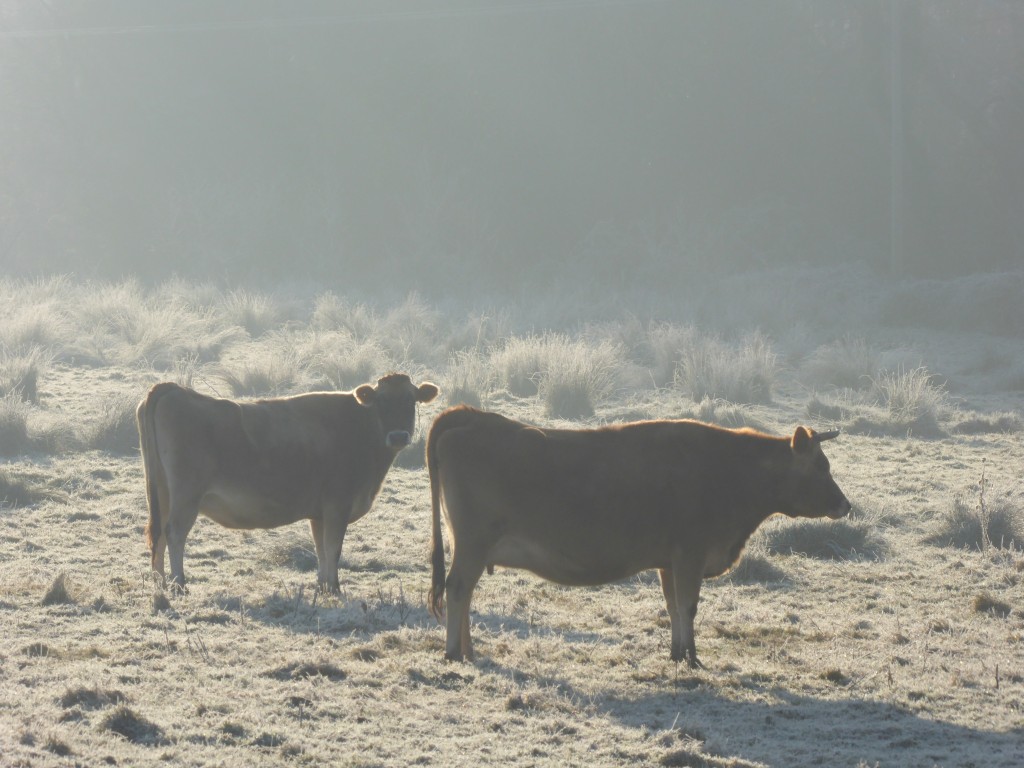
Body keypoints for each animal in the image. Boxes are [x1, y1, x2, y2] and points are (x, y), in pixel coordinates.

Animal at [137, 372, 436, 593]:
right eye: (381, 401)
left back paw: (160, 585)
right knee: (175, 533)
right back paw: (179, 584)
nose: (398, 436)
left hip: (162, 493)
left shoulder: (320, 513)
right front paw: (335, 589)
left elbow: (320, 549)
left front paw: (323, 586)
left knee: (158, 535)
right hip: (186, 495)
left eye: (411, 400)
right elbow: (333, 548)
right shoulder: (337, 505)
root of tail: (174, 390)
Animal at [428, 409, 851, 667]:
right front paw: (693, 660)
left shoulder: (670, 562)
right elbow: (688, 607)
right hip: (472, 544)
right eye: (820, 466)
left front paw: (678, 654)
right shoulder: (690, 556)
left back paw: (468, 651)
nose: (845, 504)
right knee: (458, 588)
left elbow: (673, 607)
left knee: (464, 593)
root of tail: (471, 416)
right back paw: (453, 653)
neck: (730, 471)